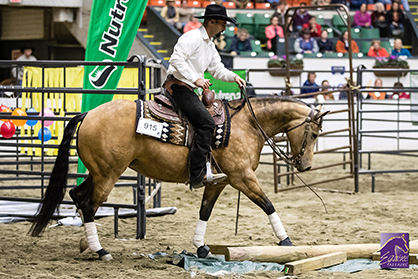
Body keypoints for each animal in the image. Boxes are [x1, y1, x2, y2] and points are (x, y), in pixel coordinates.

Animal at [30, 95, 330, 262]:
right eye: (315, 134)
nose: (305, 166)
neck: (247, 124)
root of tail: (89, 114)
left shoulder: (219, 181)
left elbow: (205, 212)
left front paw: (201, 248)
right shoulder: (242, 177)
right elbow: (268, 204)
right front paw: (286, 242)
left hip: (98, 172)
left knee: (77, 196)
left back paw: (86, 244)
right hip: (108, 174)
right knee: (89, 204)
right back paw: (101, 251)